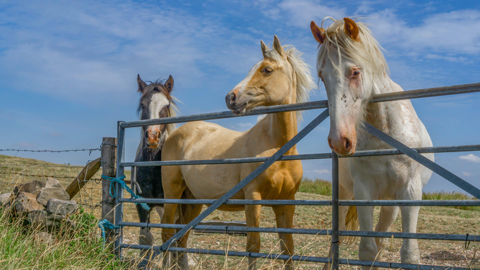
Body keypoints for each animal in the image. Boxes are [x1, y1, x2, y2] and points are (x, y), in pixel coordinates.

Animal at [161, 35, 316, 268]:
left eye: (267, 69)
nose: (231, 98)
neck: (278, 149)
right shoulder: (253, 199)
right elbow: (253, 246)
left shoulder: (286, 203)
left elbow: (287, 248)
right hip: (172, 193)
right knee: (166, 233)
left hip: (192, 201)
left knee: (181, 237)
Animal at [312, 17, 436, 268]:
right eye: (322, 76)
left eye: (355, 72)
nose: (339, 141)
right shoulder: (363, 191)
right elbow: (367, 251)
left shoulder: (410, 192)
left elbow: (408, 253)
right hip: (344, 195)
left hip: (391, 203)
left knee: (381, 236)